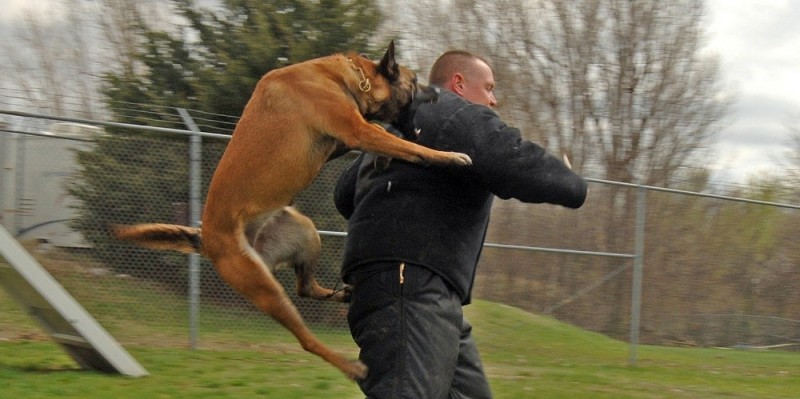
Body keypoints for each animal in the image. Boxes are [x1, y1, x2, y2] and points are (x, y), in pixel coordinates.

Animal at [115, 41, 472, 382]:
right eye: (415, 81)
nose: (437, 91)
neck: (350, 78)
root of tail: (207, 238)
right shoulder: (356, 130)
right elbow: (410, 146)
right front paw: (450, 157)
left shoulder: (343, 139)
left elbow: (387, 138)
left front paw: (385, 158)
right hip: (264, 287)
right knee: (305, 338)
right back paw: (349, 366)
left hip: (305, 231)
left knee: (305, 288)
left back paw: (342, 295)